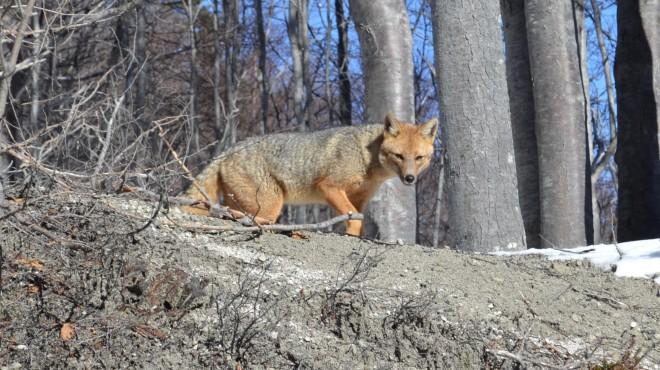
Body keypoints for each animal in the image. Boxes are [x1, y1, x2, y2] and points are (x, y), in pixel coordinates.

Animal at [183, 112, 438, 237]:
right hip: (270, 206)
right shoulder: (329, 187)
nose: (410, 178)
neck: (366, 155)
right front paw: (350, 235)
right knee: (248, 218)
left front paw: (354, 237)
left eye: (418, 158)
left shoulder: (358, 199)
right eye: (399, 156)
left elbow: (357, 220)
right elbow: (353, 218)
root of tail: (229, 149)